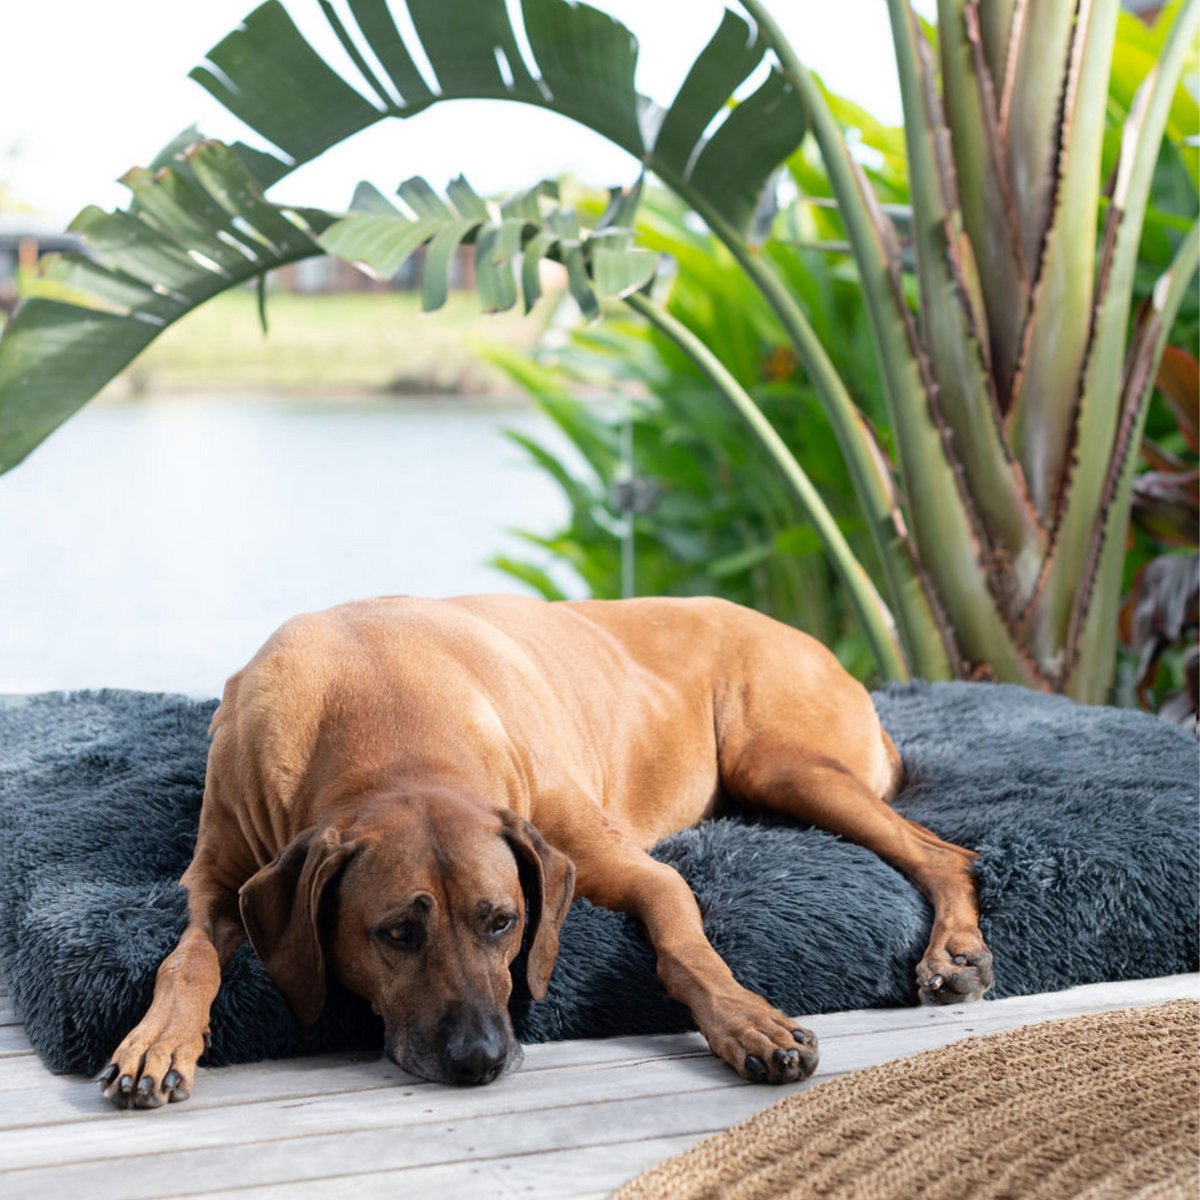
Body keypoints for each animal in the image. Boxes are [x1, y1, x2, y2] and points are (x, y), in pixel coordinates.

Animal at [98, 595, 993, 1108]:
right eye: (396, 934)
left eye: (502, 922)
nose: (481, 1059)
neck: (385, 721)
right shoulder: (220, 879)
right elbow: (188, 957)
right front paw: (157, 1040)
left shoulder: (616, 863)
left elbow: (684, 940)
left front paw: (747, 1020)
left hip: (780, 760)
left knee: (944, 853)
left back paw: (953, 952)